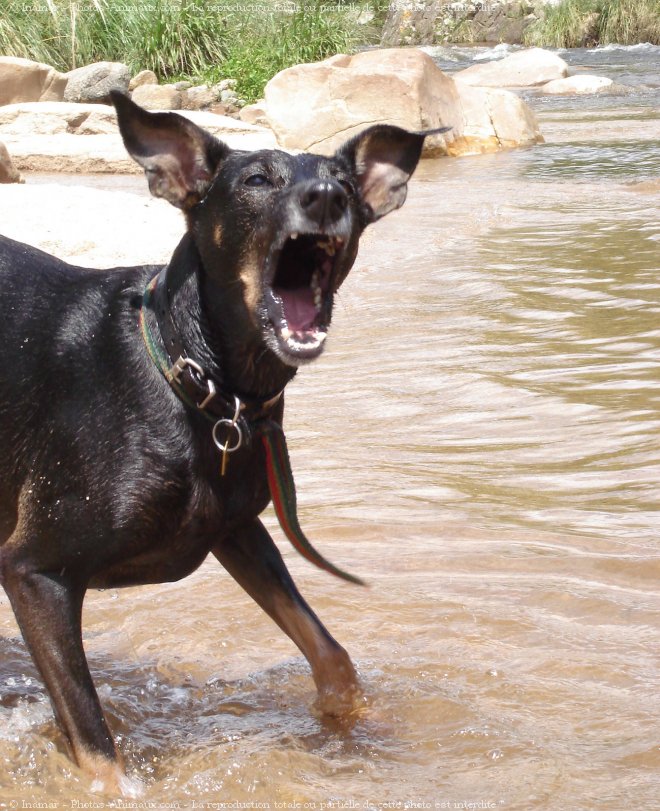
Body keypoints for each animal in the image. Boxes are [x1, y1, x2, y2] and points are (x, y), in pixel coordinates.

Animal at [0, 93, 440, 792]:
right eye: (256, 179)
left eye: (345, 185)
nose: (325, 198)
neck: (202, 388)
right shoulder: (34, 571)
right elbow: (99, 753)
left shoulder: (236, 527)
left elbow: (333, 656)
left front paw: (350, 732)